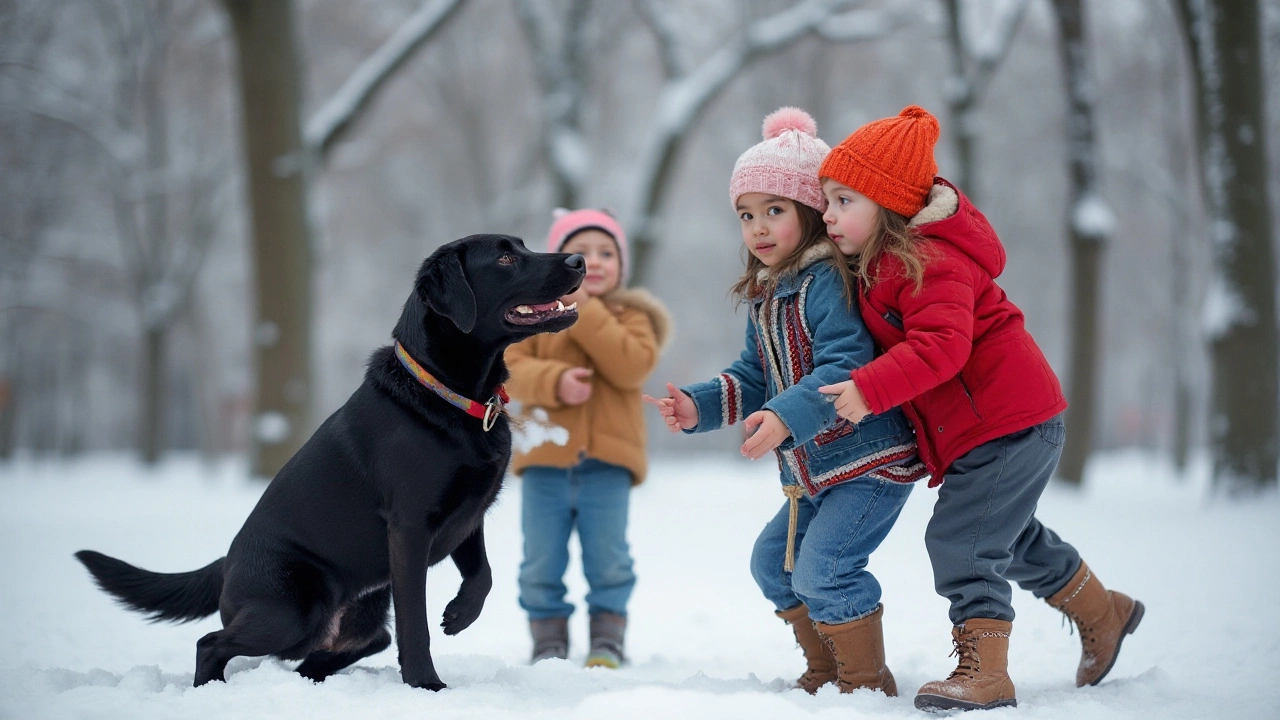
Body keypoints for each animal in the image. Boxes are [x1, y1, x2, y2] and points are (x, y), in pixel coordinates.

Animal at [74, 233, 586, 686]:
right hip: (294, 612)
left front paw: (459, 615)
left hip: (355, 612)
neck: (450, 394)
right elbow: (415, 625)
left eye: (521, 246)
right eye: (504, 258)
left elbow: (483, 575)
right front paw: (426, 685)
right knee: (211, 643)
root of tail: (225, 564)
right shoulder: (410, 527)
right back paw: (211, 690)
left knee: (345, 647)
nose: (579, 260)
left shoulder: (469, 515)